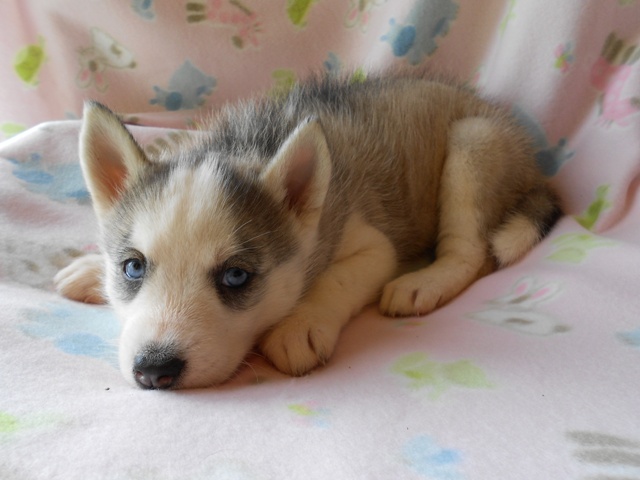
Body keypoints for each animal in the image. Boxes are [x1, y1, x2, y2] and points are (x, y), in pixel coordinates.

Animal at [55, 74, 560, 390]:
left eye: (236, 277)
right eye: (132, 268)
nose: (154, 371)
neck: (245, 142)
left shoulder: (372, 244)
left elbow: (337, 278)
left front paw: (301, 324)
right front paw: (90, 268)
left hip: (473, 144)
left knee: (471, 253)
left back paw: (425, 281)